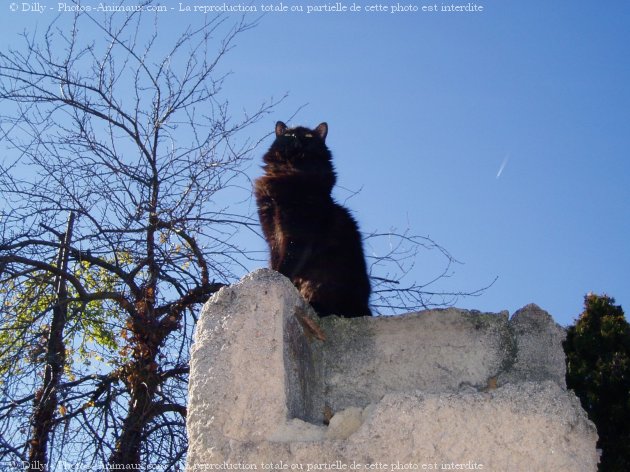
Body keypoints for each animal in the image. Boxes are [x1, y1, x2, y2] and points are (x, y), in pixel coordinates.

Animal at [256, 121, 372, 318]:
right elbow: (275, 258)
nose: (298, 140)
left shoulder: (297, 233)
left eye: (308, 137)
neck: (291, 172)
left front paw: (277, 276)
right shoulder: (271, 230)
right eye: (289, 135)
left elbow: (287, 263)